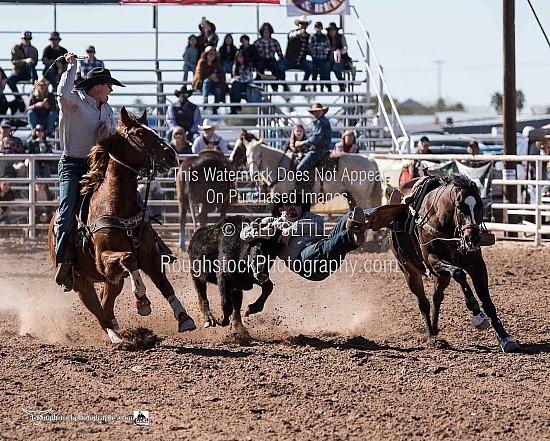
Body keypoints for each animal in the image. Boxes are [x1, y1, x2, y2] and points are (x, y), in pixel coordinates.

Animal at [48, 107, 196, 344]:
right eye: (139, 133)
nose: (172, 155)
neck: (116, 206)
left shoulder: (150, 255)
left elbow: (165, 285)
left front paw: (184, 318)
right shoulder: (103, 260)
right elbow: (129, 258)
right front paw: (142, 300)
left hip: (111, 281)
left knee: (106, 303)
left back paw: (118, 328)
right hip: (80, 282)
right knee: (98, 310)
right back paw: (115, 337)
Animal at [390, 174, 520, 352]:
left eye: (480, 205)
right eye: (459, 206)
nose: (472, 239)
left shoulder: (476, 264)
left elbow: (487, 302)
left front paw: (505, 337)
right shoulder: (433, 261)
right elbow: (459, 273)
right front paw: (475, 311)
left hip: (442, 276)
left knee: (436, 297)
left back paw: (435, 330)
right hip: (409, 271)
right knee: (423, 302)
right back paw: (432, 337)